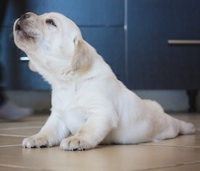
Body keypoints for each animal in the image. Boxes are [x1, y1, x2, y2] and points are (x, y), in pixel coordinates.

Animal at [13, 12, 195, 151]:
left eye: (51, 22)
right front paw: (37, 138)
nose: (23, 14)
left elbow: (86, 129)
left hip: (168, 127)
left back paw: (190, 127)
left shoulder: (101, 112)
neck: (67, 81)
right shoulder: (58, 116)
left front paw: (76, 140)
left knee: (177, 125)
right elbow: (48, 130)